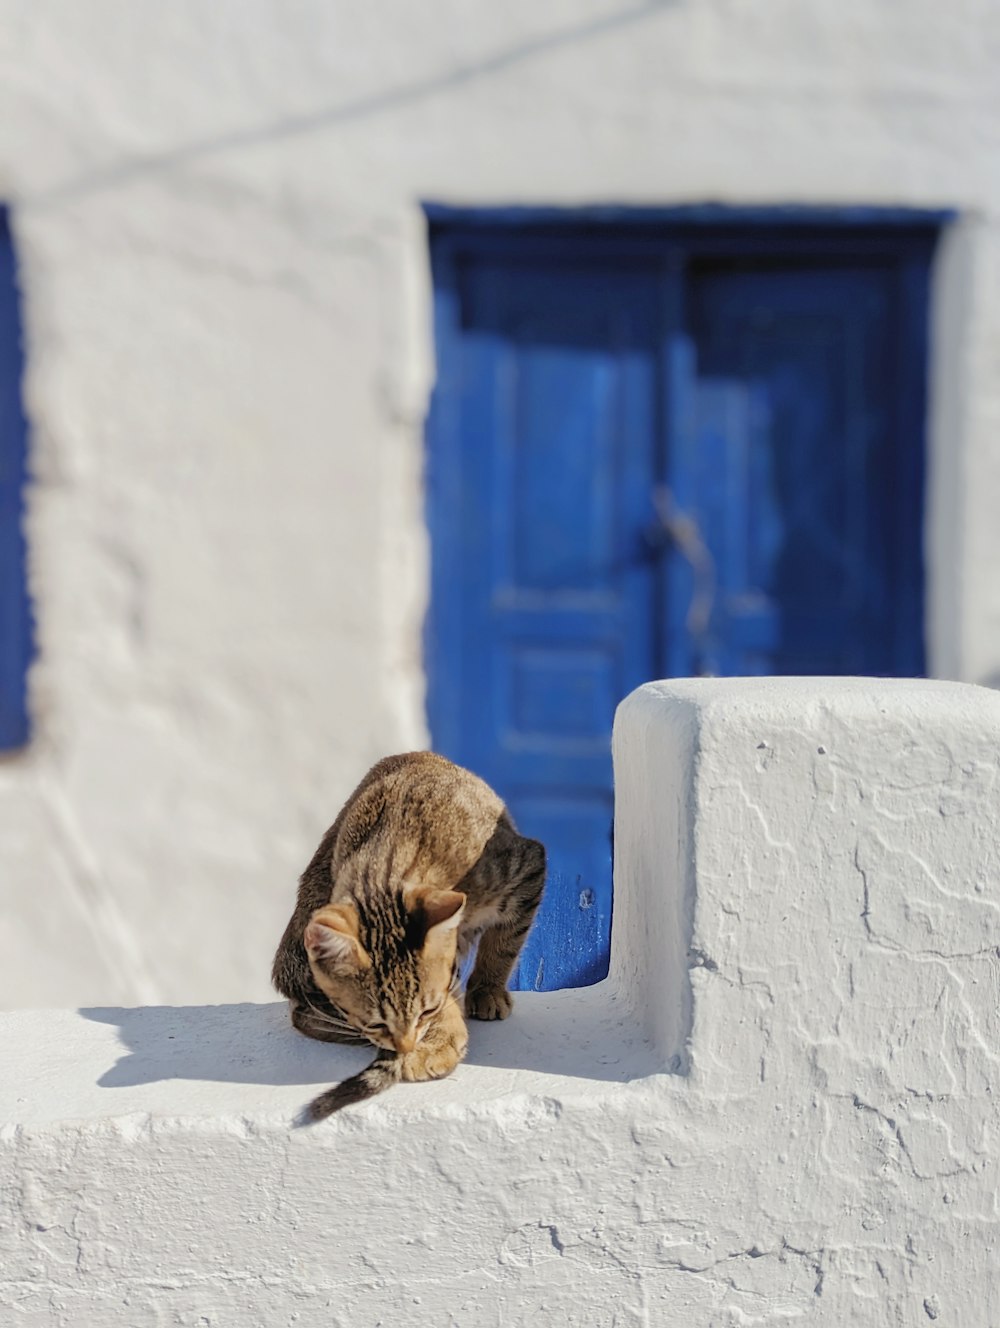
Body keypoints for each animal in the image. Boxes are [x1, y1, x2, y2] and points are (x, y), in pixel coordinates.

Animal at [270, 754, 547, 1115]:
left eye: (426, 1011)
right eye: (375, 1022)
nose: (405, 1045)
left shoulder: (525, 866)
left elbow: (505, 943)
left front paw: (487, 989)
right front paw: (439, 1039)